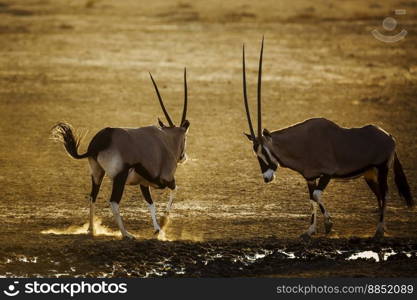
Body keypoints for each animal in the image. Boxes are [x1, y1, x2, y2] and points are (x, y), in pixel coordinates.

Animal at [52, 68, 190, 239]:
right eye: (185, 137)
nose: (183, 157)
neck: (166, 139)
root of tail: (102, 139)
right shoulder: (166, 179)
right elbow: (174, 190)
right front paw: (163, 222)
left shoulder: (144, 184)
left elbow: (151, 204)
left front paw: (157, 229)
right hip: (119, 178)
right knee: (113, 202)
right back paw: (126, 234)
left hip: (97, 173)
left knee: (92, 197)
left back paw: (92, 229)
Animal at [240, 38, 412, 239]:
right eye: (256, 153)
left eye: (264, 152)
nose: (267, 178)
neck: (302, 142)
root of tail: (389, 137)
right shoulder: (309, 177)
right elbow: (311, 198)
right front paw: (310, 230)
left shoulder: (328, 172)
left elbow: (316, 195)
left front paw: (328, 225)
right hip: (369, 173)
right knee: (378, 195)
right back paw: (379, 228)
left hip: (382, 167)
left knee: (385, 194)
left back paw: (379, 230)